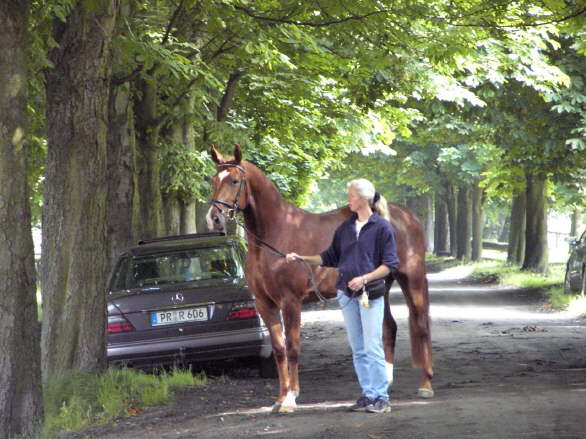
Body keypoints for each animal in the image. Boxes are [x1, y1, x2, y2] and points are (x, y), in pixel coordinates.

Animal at [204, 146, 428, 414]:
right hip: (378, 289)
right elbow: (279, 349)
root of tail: (406, 216)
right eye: (213, 180)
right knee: (388, 328)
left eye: (234, 181)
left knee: (421, 325)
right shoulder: (264, 303)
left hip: (412, 279)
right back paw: (386, 382)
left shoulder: (291, 301)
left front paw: (291, 399)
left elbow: (292, 347)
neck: (275, 235)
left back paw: (426, 386)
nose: (214, 218)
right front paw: (279, 399)